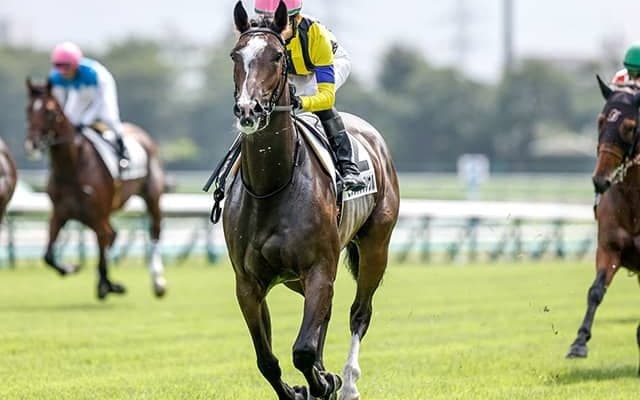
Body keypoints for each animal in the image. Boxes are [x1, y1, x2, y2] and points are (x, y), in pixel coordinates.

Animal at [25, 79, 167, 300]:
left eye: (50, 111)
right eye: (28, 110)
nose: (32, 143)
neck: (72, 167)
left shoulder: (97, 214)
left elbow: (103, 245)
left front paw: (106, 284)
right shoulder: (60, 213)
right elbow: (47, 256)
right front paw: (71, 268)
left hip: (151, 196)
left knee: (154, 232)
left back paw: (158, 281)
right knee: (113, 234)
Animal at [221, 2, 400, 399]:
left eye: (276, 56)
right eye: (235, 55)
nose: (248, 110)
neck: (272, 187)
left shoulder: (319, 267)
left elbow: (302, 350)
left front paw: (324, 382)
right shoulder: (247, 283)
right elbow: (267, 360)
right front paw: (301, 388)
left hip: (375, 245)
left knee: (358, 313)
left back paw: (348, 382)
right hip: (296, 278)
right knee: (326, 315)